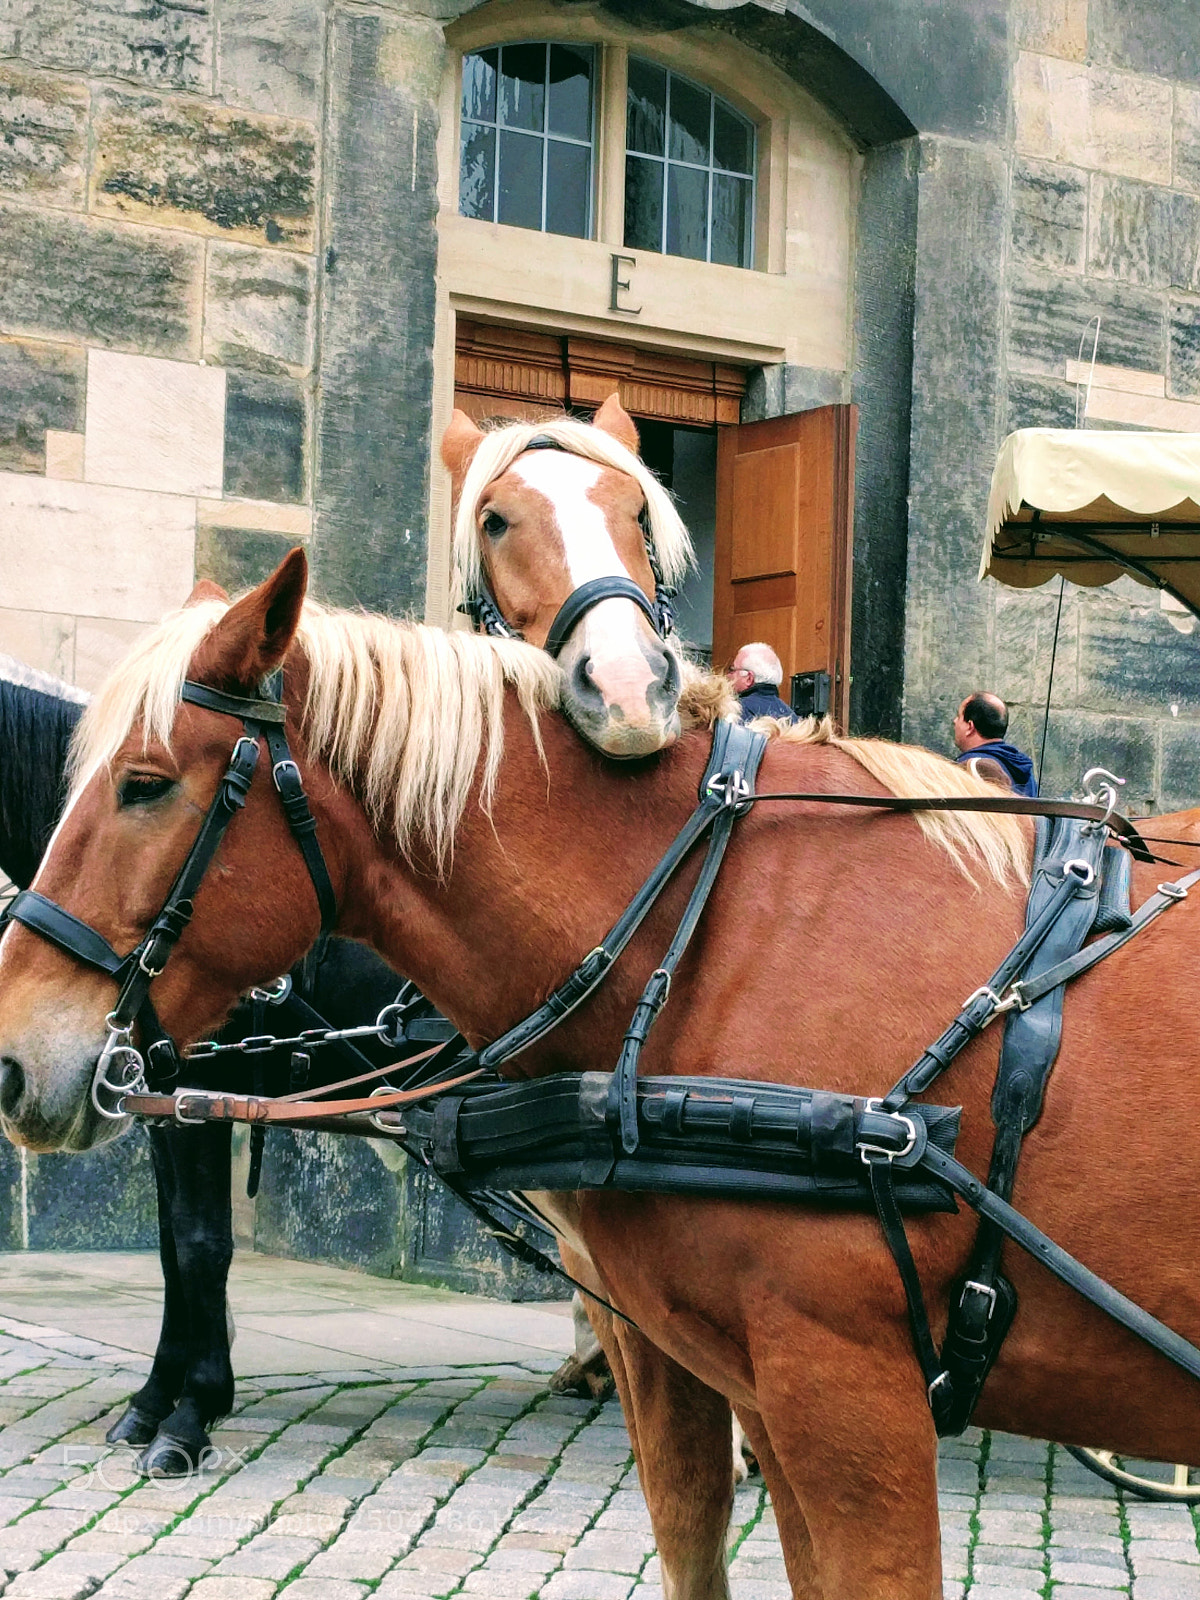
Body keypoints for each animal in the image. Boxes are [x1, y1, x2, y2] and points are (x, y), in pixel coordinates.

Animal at [7, 551, 1200, 1598]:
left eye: (144, 785)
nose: (14, 1056)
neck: (714, 924)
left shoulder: (842, 1387)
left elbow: (195, 1248)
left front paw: (180, 1413)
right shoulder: (738, 1372)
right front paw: (169, 1404)